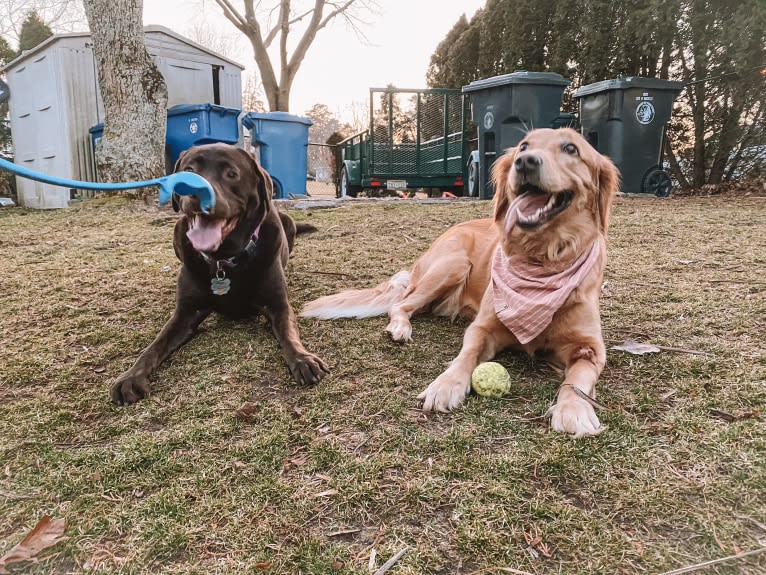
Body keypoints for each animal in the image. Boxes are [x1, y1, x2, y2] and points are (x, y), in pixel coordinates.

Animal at [304, 129, 620, 436]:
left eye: (571, 148)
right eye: (523, 146)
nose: (525, 162)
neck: (542, 261)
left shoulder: (590, 347)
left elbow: (578, 377)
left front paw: (573, 409)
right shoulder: (484, 327)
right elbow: (466, 354)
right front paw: (446, 384)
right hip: (453, 264)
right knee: (400, 305)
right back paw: (400, 328)